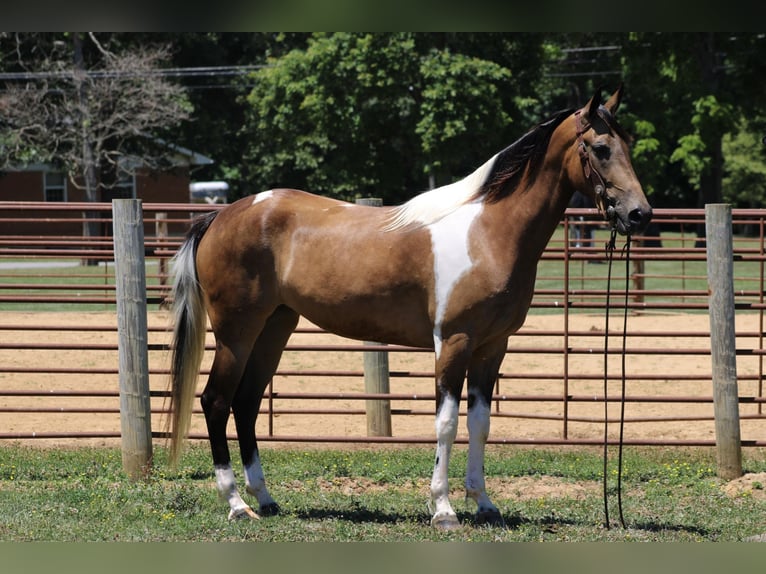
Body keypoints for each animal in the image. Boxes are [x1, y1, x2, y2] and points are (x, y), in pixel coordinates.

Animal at [168, 84, 656, 532]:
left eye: (628, 145)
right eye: (600, 148)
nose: (640, 214)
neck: (489, 232)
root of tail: (222, 215)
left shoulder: (492, 347)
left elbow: (480, 423)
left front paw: (484, 504)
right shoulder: (454, 342)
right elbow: (446, 423)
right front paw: (443, 510)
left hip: (274, 328)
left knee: (247, 402)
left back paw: (266, 499)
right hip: (236, 333)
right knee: (216, 401)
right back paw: (237, 505)